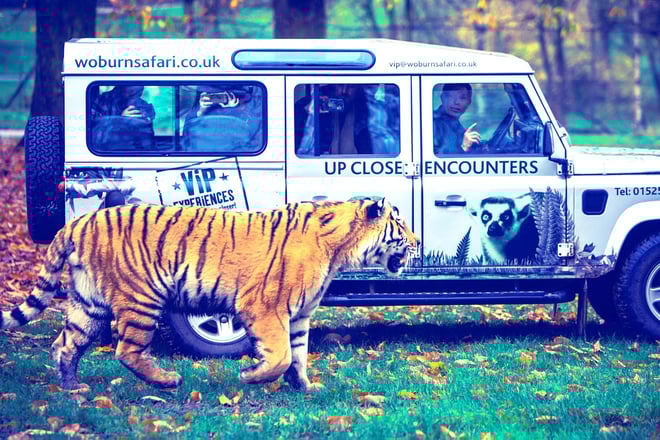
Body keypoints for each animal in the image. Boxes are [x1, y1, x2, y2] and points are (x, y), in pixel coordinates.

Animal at [1, 198, 417, 392]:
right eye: (400, 225)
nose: (417, 242)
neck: (339, 249)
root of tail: (77, 222)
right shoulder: (266, 307)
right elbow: (281, 355)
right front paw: (251, 376)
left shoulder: (299, 316)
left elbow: (298, 355)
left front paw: (306, 388)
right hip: (142, 298)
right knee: (127, 351)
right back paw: (167, 380)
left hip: (89, 304)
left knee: (65, 345)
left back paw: (73, 386)